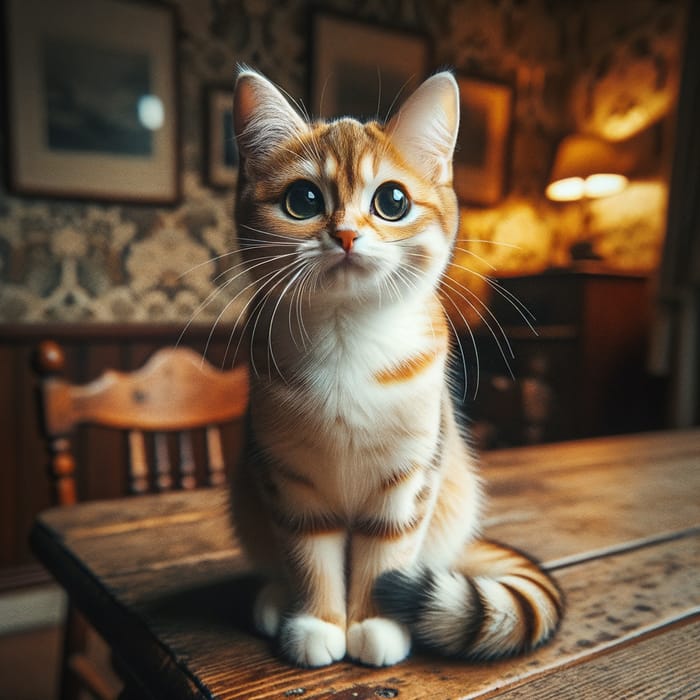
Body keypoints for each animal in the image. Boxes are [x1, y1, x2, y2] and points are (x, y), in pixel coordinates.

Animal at [230, 68, 564, 668]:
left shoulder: (410, 477)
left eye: (392, 200)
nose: (344, 234)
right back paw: (274, 599)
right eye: (303, 199)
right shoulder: (288, 477)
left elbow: (385, 556)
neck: (347, 339)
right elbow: (309, 554)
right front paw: (318, 621)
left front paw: (374, 623)